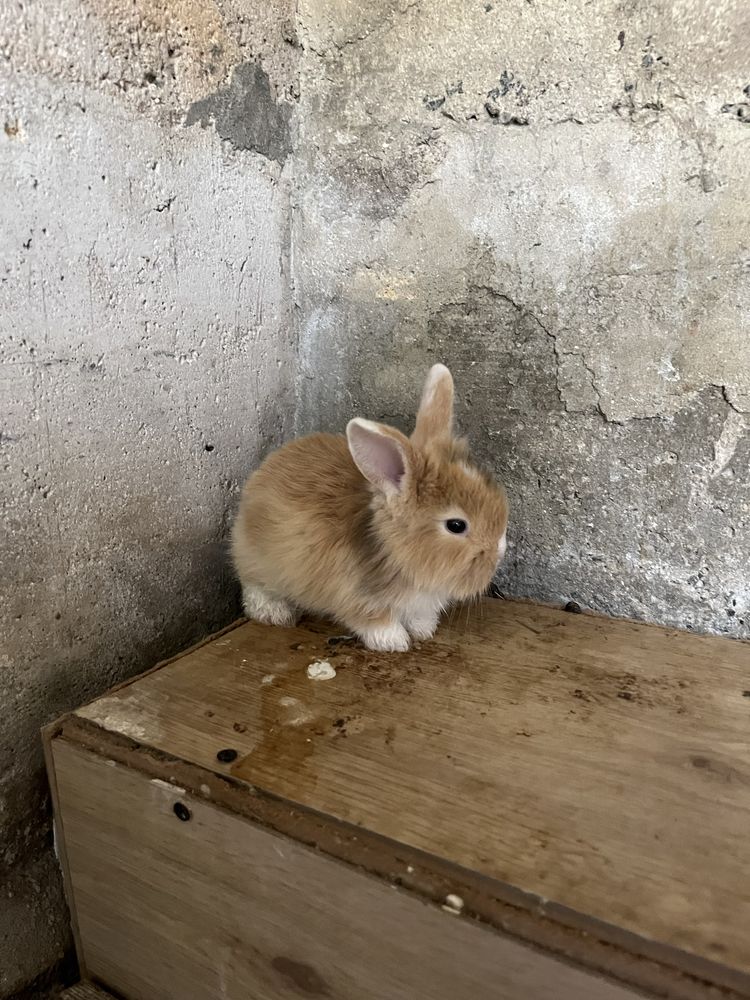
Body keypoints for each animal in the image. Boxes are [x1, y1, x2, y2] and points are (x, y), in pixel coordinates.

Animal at [229, 364, 512, 652]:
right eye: (456, 525)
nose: (500, 550)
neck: (393, 549)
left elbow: (419, 616)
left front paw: (424, 630)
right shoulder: (354, 596)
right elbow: (374, 619)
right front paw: (394, 641)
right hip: (259, 563)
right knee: (253, 588)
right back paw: (276, 613)